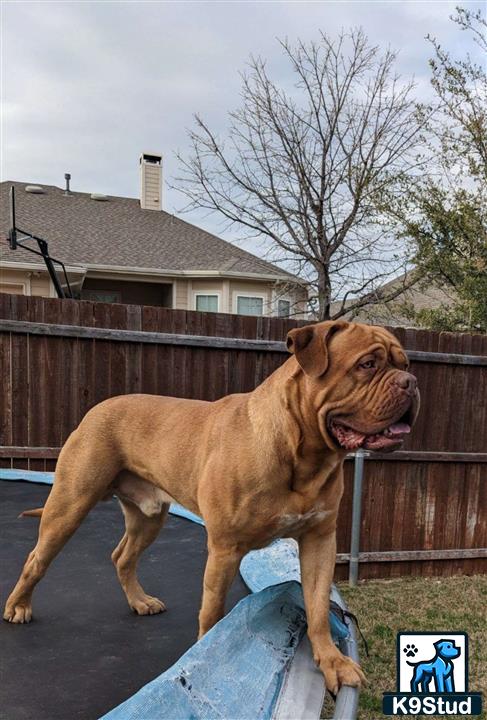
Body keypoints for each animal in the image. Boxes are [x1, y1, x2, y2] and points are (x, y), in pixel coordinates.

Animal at [2, 320, 420, 692]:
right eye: (368, 364)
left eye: (405, 364)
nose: (412, 383)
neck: (304, 455)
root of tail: (96, 409)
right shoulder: (224, 548)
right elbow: (212, 610)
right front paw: (206, 657)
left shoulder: (320, 540)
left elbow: (317, 607)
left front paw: (332, 662)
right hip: (69, 505)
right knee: (36, 559)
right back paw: (18, 607)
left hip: (149, 516)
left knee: (122, 556)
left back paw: (139, 601)